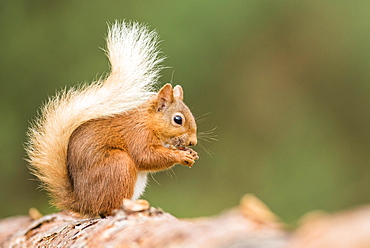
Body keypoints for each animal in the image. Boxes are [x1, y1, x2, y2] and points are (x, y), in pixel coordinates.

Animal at [25, 21, 199, 219]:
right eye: (178, 119)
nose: (193, 142)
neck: (148, 121)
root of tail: (83, 203)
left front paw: (191, 154)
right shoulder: (137, 134)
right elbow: (145, 156)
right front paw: (181, 156)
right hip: (118, 165)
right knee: (110, 207)